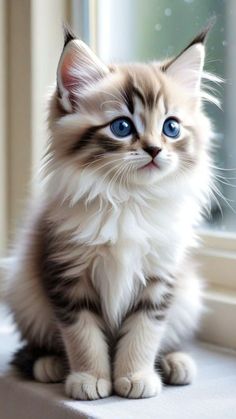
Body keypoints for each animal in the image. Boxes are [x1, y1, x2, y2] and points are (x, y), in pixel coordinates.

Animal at [4, 26, 218, 400]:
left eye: (171, 128)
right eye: (122, 127)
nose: (154, 149)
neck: (129, 199)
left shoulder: (159, 279)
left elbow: (144, 334)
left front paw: (135, 376)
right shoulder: (68, 276)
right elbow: (83, 336)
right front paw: (90, 378)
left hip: (188, 294)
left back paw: (174, 362)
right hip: (21, 287)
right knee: (39, 343)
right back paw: (51, 364)